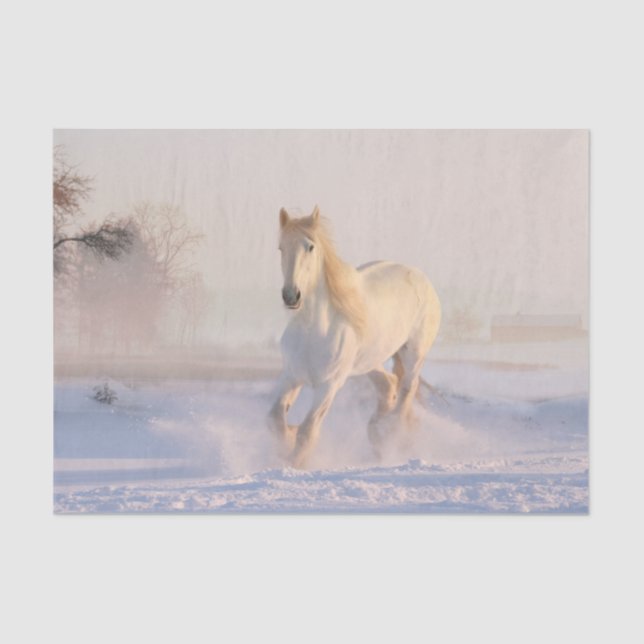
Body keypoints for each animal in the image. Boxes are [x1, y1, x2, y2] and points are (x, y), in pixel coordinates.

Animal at [267, 205, 441, 468]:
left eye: (310, 247)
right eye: (281, 248)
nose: (291, 296)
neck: (313, 331)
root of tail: (420, 276)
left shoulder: (329, 385)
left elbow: (308, 430)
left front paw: (294, 462)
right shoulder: (291, 375)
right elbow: (276, 418)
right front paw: (288, 439)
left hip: (414, 354)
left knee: (407, 390)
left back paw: (390, 435)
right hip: (368, 361)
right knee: (388, 384)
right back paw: (377, 433)